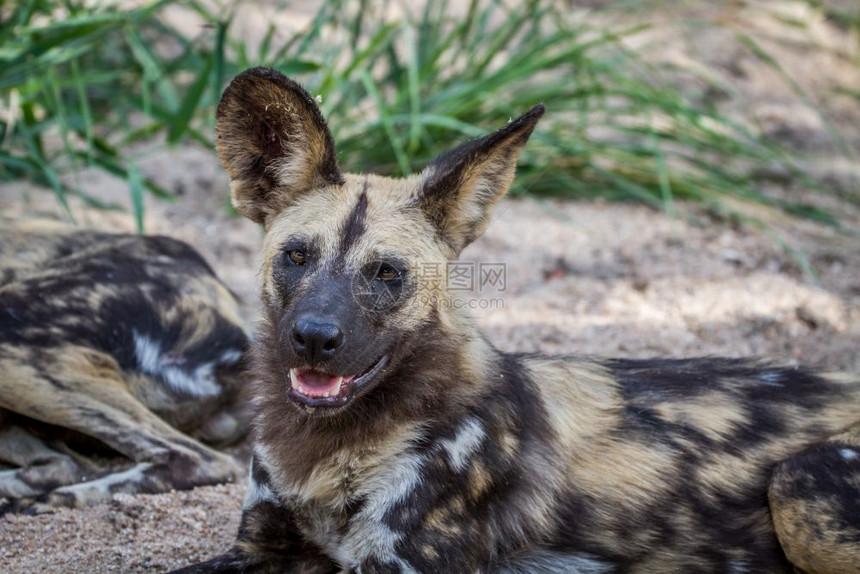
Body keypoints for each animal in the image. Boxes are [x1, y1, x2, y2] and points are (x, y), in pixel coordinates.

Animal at [175, 67, 860, 574]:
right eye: (297, 256)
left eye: (387, 273)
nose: (314, 339)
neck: (328, 453)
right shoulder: (260, 545)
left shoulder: (397, 563)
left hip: (800, 488)